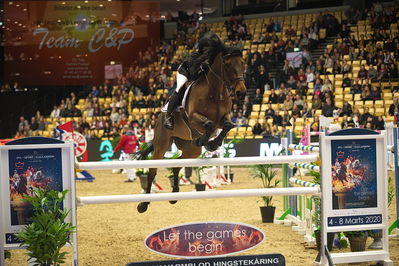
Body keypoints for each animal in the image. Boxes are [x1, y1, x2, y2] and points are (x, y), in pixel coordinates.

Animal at [136, 47, 245, 214]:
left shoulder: (223, 118)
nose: (241, 93)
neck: (215, 90)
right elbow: (208, 124)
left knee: (177, 164)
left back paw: (174, 195)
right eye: (228, 66)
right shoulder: (194, 117)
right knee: (152, 171)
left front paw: (212, 143)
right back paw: (143, 204)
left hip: (190, 149)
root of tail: (159, 117)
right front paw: (208, 142)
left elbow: (227, 126)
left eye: (243, 63)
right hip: (161, 144)